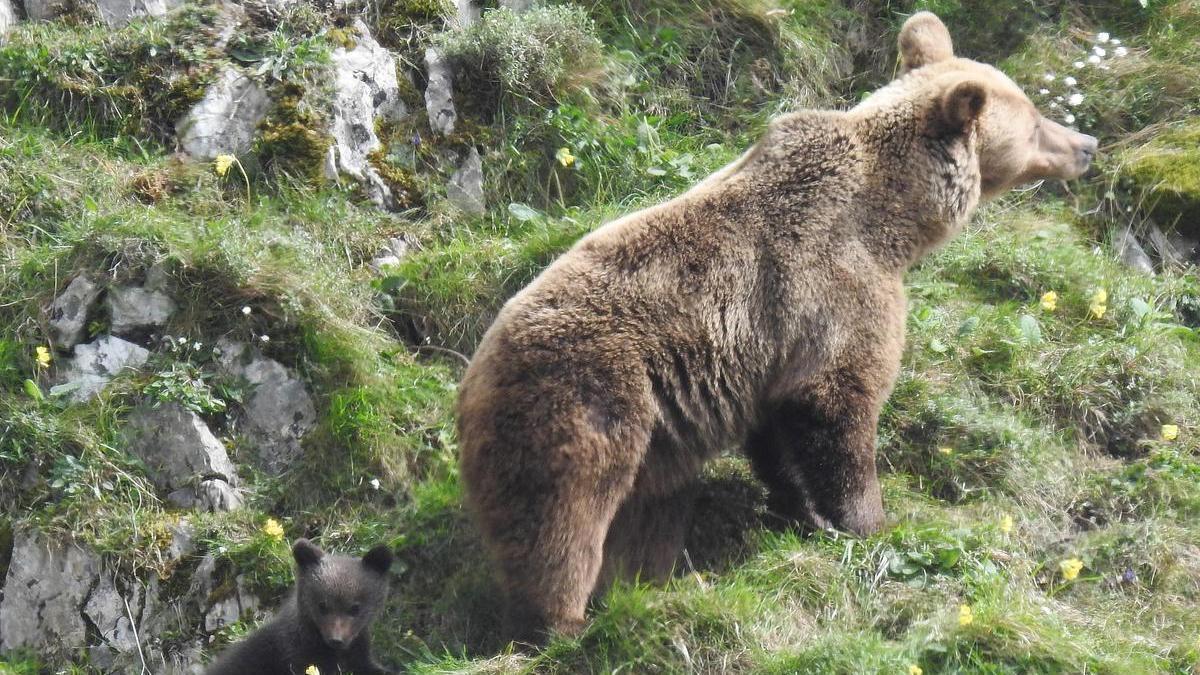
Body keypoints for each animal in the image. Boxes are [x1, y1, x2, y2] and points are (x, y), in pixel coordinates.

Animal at [456, 11, 1099, 638]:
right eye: (1036, 120)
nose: (1088, 143)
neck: (895, 222)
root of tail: (471, 373)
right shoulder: (838, 290)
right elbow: (838, 408)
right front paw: (871, 523)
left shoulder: (765, 352)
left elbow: (777, 433)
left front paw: (804, 512)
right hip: (584, 405)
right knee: (561, 525)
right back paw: (560, 622)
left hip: (651, 442)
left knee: (647, 514)